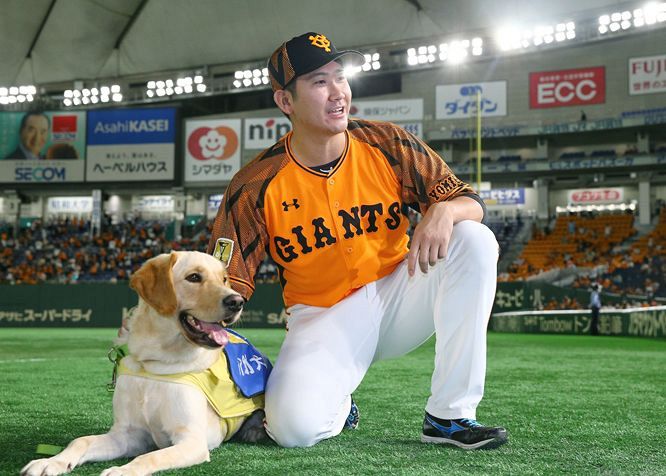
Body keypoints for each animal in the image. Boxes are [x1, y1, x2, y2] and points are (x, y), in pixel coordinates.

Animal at [22, 251, 268, 474]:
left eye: (224, 279)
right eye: (194, 277)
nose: (237, 301)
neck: (155, 364)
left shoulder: (192, 441)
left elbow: (150, 457)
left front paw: (122, 471)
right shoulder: (126, 435)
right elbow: (81, 440)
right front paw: (51, 462)